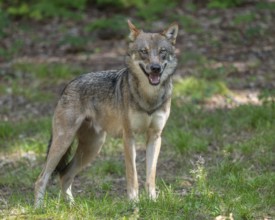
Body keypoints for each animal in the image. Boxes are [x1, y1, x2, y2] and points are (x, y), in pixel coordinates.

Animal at [34, 19, 179, 207]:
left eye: (162, 52)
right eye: (144, 52)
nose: (155, 68)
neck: (149, 97)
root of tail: (68, 84)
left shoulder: (155, 136)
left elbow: (150, 175)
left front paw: (152, 201)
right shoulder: (129, 137)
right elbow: (132, 175)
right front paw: (134, 203)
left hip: (92, 148)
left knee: (64, 175)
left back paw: (73, 207)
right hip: (63, 143)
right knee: (42, 178)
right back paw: (39, 208)